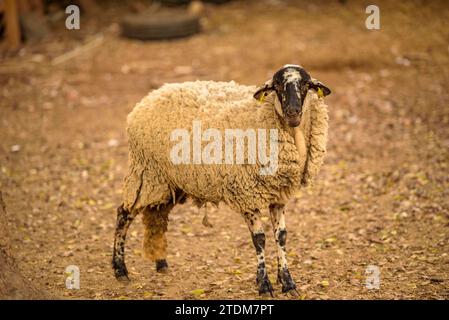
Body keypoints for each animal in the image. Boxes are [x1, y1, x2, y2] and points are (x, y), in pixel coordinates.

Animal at [112, 63, 328, 296]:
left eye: (306, 84)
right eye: (277, 85)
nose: (293, 112)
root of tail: (147, 99)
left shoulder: (278, 196)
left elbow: (281, 236)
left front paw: (288, 283)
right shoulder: (246, 194)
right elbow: (259, 239)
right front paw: (264, 284)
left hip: (167, 182)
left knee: (157, 215)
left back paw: (161, 262)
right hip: (147, 173)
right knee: (124, 214)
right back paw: (120, 270)